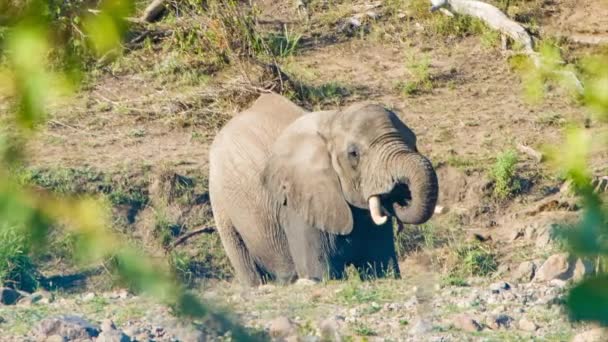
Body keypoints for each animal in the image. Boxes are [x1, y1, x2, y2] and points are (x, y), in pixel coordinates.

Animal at [209, 93, 436, 286]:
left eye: (414, 143)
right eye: (353, 154)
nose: (397, 192)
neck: (333, 121)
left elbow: (380, 266)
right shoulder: (299, 200)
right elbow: (321, 275)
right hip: (221, 201)